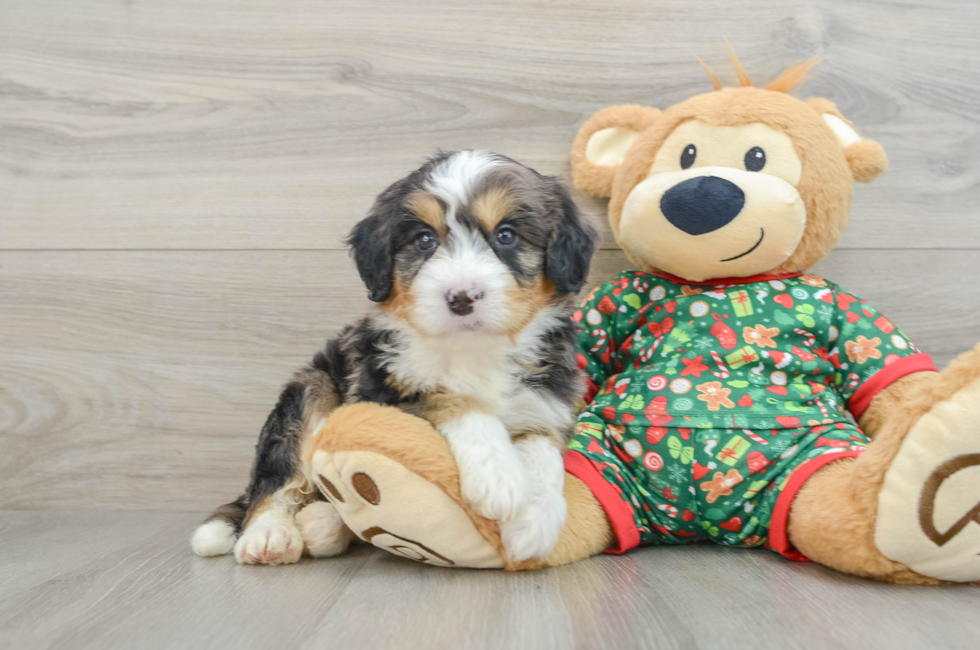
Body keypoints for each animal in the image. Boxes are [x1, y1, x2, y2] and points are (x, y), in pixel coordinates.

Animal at [191, 151, 596, 560]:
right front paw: (498, 478)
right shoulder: (382, 391)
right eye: (424, 239)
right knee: (274, 482)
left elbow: (542, 444)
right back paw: (268, 535)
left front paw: (535, 522)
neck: (472, 349)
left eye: (507, 235)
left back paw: (324, 525)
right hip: (310, 390)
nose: (461, 297)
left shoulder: (548, 396)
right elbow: (451, 398)